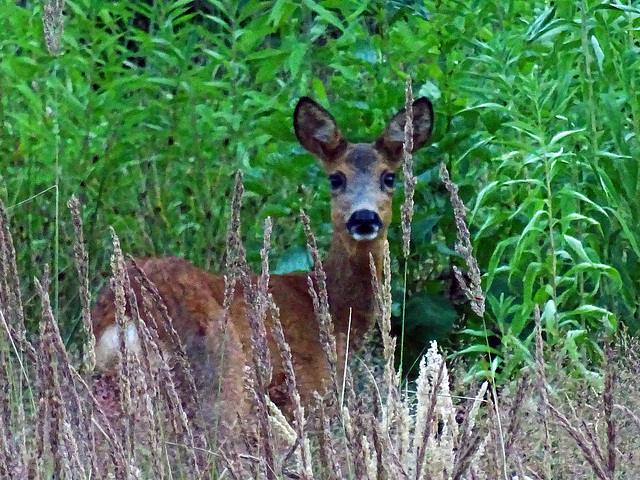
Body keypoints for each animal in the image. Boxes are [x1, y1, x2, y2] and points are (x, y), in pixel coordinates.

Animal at [91, 95, 436, 426]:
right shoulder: (305, 388)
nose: (364, 218)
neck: (334, 312)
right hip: (220, 381)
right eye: (336, 179)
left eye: (388, 177)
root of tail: (127, 315)